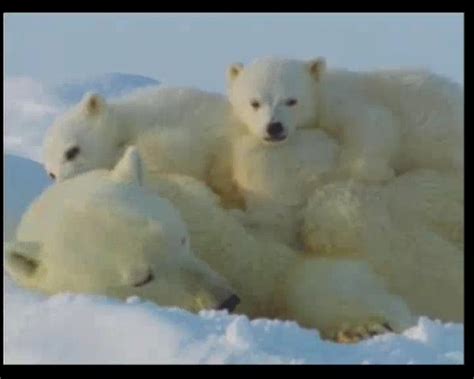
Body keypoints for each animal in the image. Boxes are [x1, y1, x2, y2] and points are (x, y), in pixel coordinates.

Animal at [6, 147, 414, 342]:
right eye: (142, 278)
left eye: (181, 237)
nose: (225, 300)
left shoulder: (222, 233)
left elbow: (298, 272)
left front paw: (365, 325)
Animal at [228, 55, 464, 184]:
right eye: (254, 102)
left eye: (291, 100)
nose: (274, 127)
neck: (320, 90)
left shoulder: (343, 99)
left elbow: (375, 121)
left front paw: (374, 172)